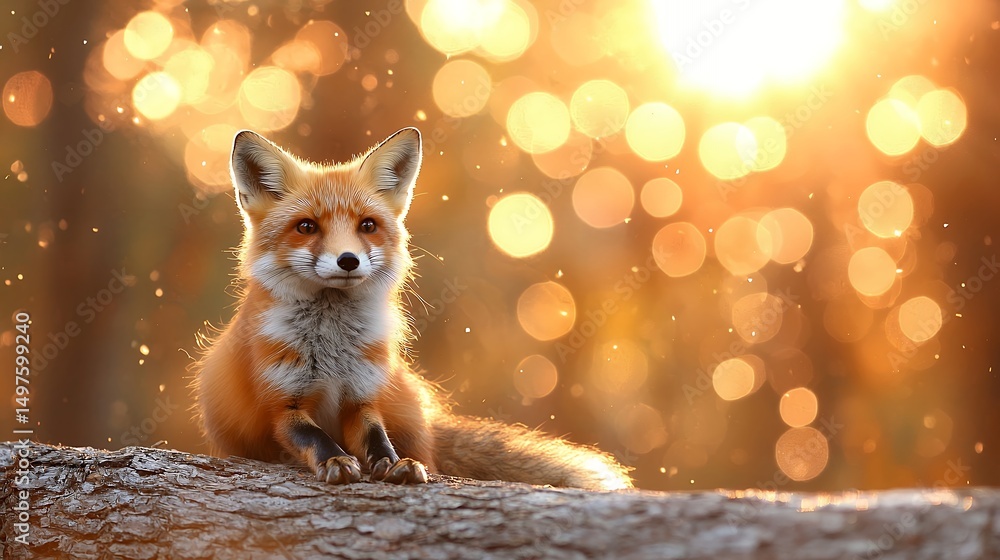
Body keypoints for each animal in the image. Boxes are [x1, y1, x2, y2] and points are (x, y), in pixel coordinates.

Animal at [191, 127, 632, 490]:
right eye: (306, 227)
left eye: (367, 226)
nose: (348, 260)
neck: (332, 347)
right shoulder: (282, 403)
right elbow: (315, 438)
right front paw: (335, 460)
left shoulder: (363, 397)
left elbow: (378, 439)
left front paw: (393, 464)